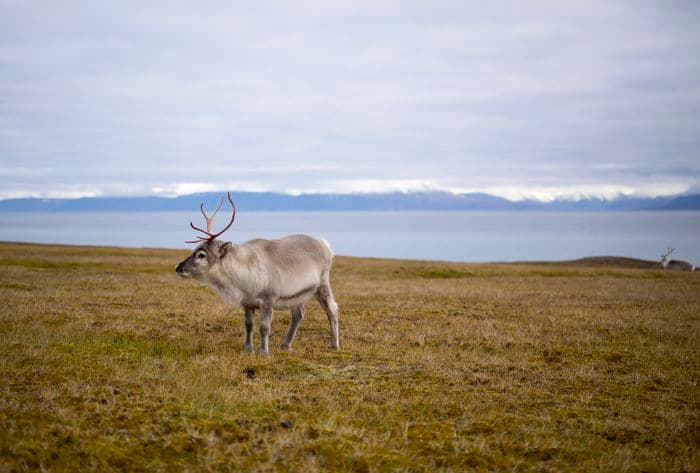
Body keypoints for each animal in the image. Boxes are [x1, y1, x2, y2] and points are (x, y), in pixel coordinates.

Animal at [175, 192, 339, 356]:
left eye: (201, 255)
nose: (179, 268)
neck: (242, 276)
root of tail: (325, 244)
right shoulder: (247, 303)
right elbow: (249, 325)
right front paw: (248, 349)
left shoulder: (268, 299)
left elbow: (264, 327)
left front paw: (264, 352)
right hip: (297, 294)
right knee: (298, 314)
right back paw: (286, 344)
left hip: (323, 283)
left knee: (332, 309)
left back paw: (334, 344)